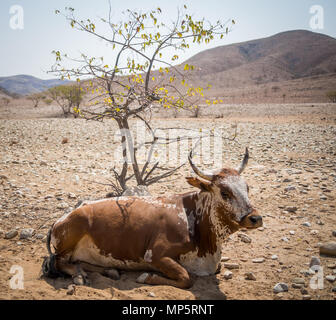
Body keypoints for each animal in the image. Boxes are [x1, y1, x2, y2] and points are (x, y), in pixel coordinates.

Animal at [42, 149, 262, 288]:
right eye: (224, 192)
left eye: (247, 187)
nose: (255, 218)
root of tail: (60, 219)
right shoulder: (155, 256)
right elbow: (186, 278)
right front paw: (146, 276)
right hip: (69, 240)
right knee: (58, 262)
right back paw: (80, 276)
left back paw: (107, 271)